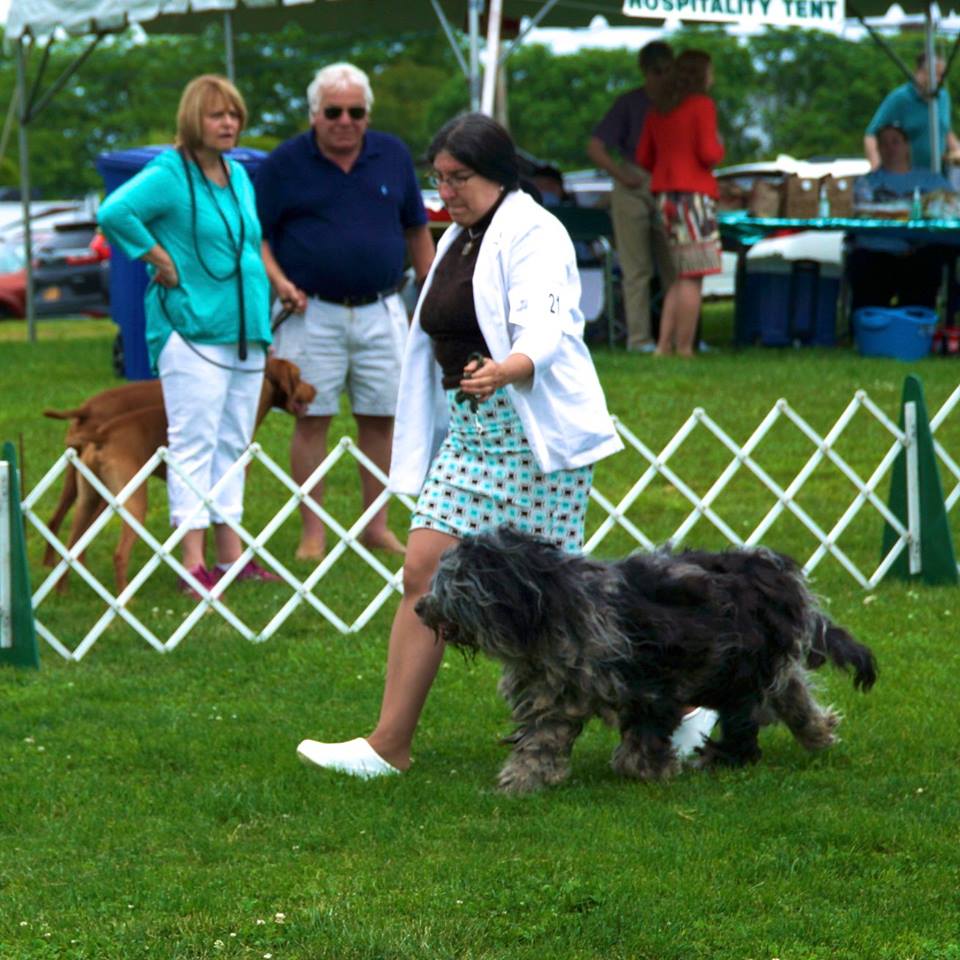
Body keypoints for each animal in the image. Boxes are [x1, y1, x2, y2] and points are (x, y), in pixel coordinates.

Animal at [46, 356, 316, 592]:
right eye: (299, 375)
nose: (315, 389)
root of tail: (102, 432)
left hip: (87, 498)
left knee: (69, 545)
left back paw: (62, 592)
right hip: (131, 502)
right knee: (119, 553)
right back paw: (125, 599)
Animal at [414, 524, 876, 796]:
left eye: (451, 585)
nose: (420, 607)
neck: (551, 609)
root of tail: (778, 571)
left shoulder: (653, 683)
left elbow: (644, 736)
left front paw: (649, 769)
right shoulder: (552, 693)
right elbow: (541, 741)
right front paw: (521, 781)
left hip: (740, 669)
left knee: (746, 718)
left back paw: (722, 757)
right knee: (792, 695)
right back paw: (818, 732)